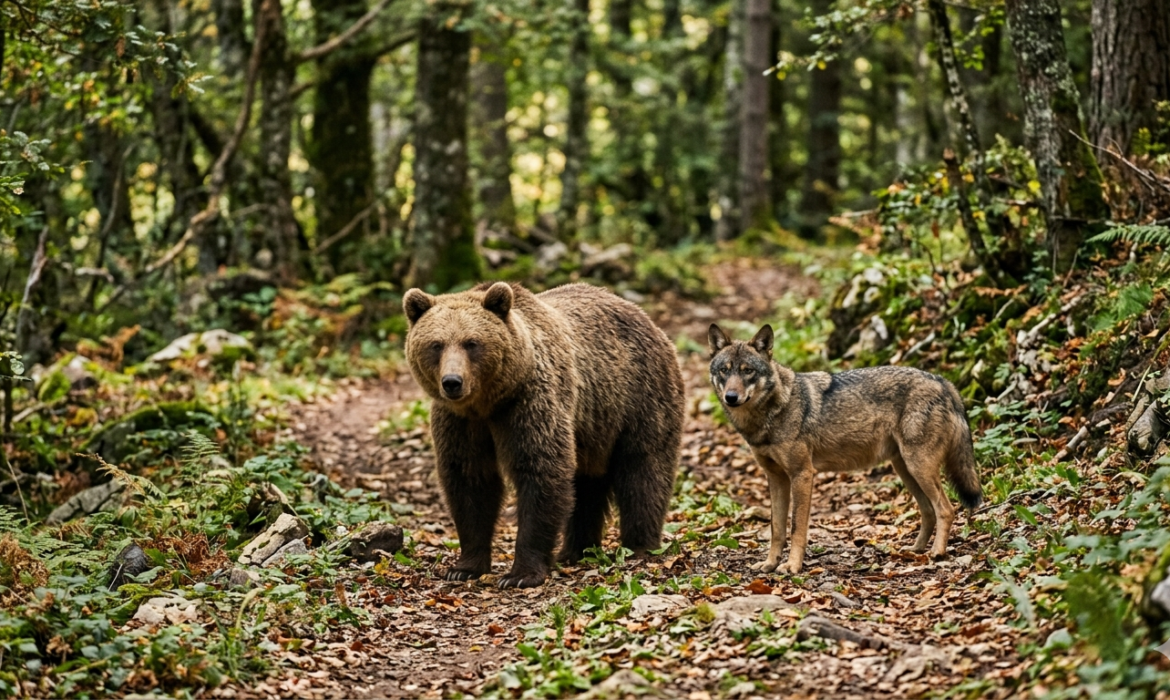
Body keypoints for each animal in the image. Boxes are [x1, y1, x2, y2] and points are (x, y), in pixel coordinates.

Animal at [403, 282, 685, 588]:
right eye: (436, 344)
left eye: (472, 343)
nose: (452, 382)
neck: (488, 403)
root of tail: (647, 318)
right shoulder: (460, 423)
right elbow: (469, 481)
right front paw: (464, 567)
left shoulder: (530, 403)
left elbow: (541, 471)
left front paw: (520, 574)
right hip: (593, 428)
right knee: (586, 485)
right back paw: (576, 550)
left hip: (639, 397)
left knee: (643, 471)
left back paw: (640, 545)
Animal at [708, 323, 983, 574]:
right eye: (724, 371)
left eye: (748, 371)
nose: (731, 397)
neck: (770, 414)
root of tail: (943, 382)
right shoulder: (775, 478)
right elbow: (777, 528)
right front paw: (769, 564)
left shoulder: (802, 475)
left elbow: (796, 528)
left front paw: (792, 566)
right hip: (906, 470)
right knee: (928, 511)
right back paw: (915, 550)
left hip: (919, 468)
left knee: (946, 509)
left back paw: (937, 553)